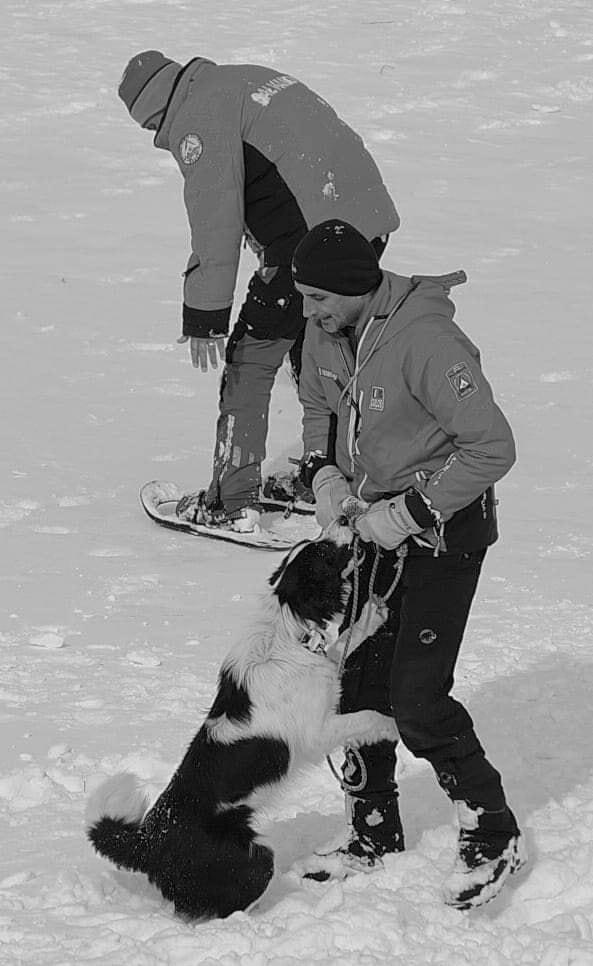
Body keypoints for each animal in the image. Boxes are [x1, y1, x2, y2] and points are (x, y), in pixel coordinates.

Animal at [86, 531, 397, 921]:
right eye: (324, 552)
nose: (345, 522)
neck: (285, 632)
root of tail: (148, 841)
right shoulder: (317, 732)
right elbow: (370, 716)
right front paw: (398, 726)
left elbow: (343, 642)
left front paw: (372, 615)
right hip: (255, 861)